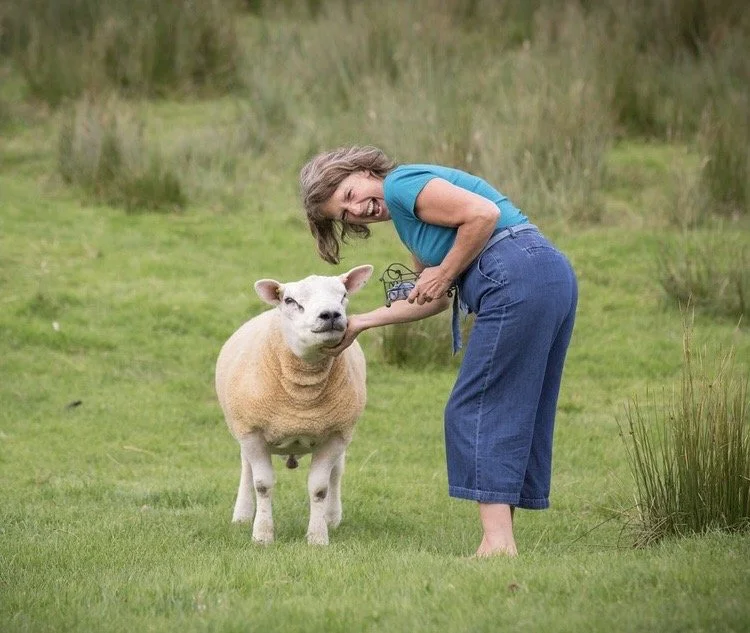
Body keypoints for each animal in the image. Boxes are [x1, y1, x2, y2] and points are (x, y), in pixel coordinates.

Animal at [215, 264, 373, 545]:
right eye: (290, 301)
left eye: (343, 295)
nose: (330, 314)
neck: (301, 400)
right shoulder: (251, 432)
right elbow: (262, 484)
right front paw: (262, 535)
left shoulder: (336, 434)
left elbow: (320, 488)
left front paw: (318, 537)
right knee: (246, 469)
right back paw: (242, 515)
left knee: (337, 472)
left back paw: (332, 518)